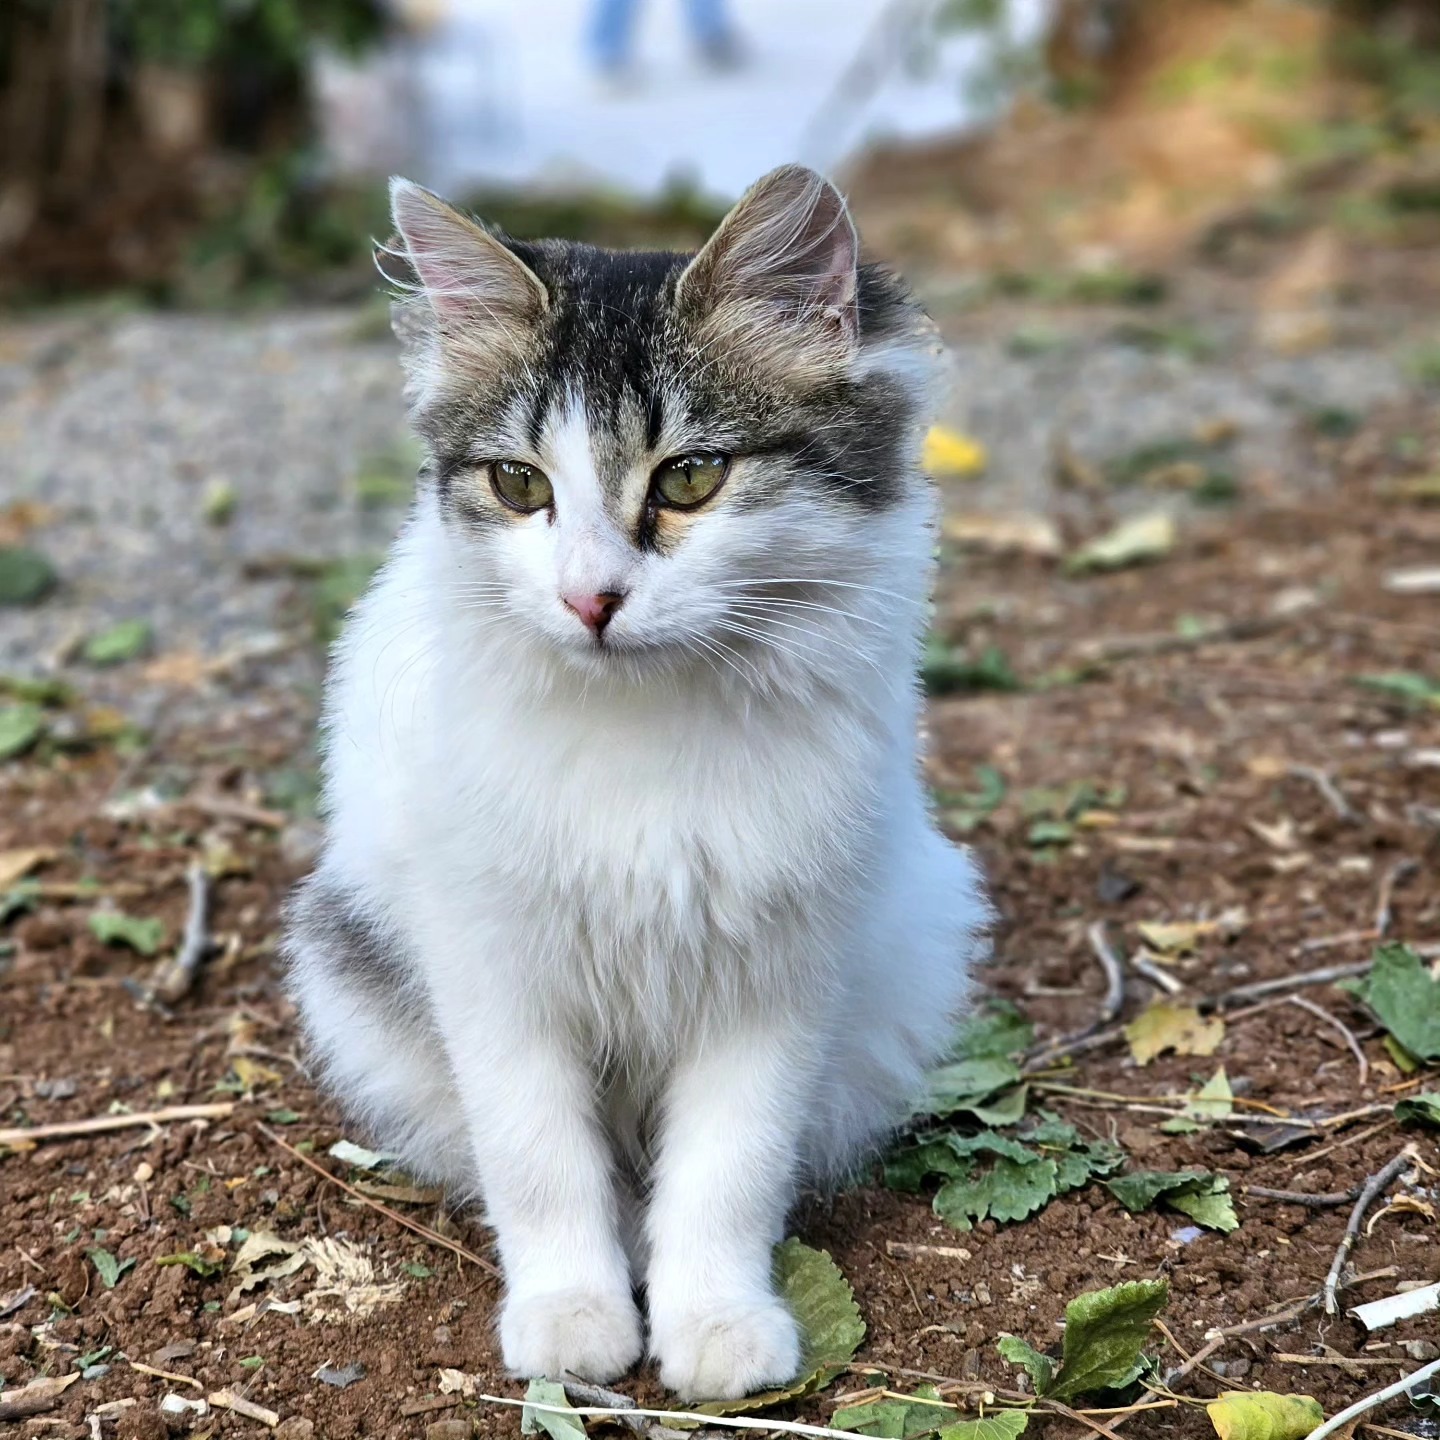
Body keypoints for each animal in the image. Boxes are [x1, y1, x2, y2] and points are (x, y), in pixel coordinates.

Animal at [286, 163, 996, 1399]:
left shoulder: (778, 979)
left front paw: (716, 1325)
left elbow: (728, 1173)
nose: (589, 601)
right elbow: (540, 1165)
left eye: (692, 477)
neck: (645, 720)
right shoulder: (494, 974)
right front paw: (573, 1317)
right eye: (519, 484)